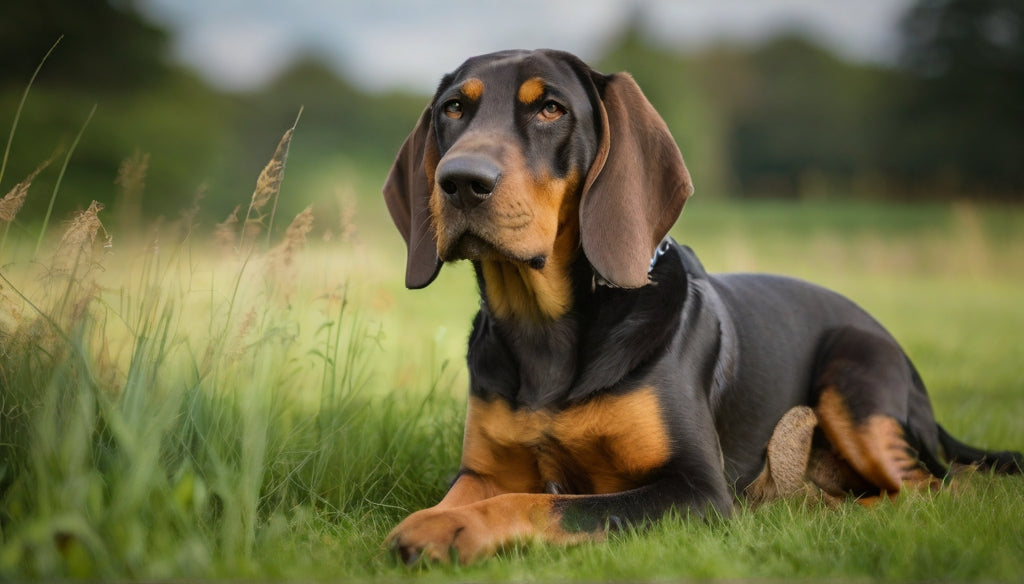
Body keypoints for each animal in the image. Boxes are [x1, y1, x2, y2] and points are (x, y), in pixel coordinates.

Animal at [380, 51, 1019, 565]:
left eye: (551, 110)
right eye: (453, 109)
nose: (459, 180)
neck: (544, 331)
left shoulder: (696, 489)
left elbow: (542, 503)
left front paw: (449, 527)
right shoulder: (483, 468)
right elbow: (485, 491)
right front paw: (442, 516)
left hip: (855, 383)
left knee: (938, 490)